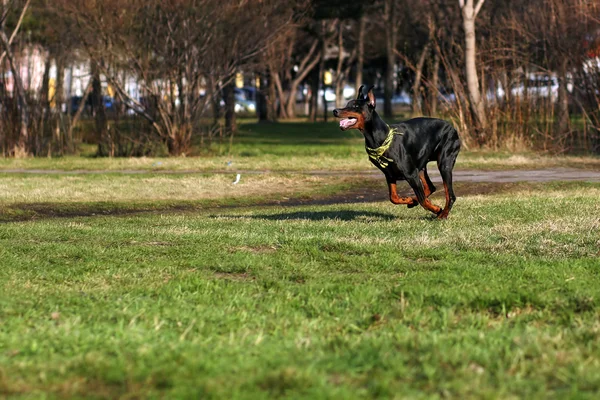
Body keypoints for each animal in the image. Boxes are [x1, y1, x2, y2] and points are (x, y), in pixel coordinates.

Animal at [332, 85, 460, 220]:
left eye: (355, 106)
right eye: (347, 104)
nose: (335, 111)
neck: (380, 138)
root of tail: (452, 128)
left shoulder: (411, 174)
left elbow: (422, 200)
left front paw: (436, 208)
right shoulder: (389, 174)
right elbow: (393, 197)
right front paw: (410, 200)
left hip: (443, 164)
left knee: (450, 195)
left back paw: (443, 214)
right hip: (420, 167)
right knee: (430, 187)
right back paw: (415, 201)